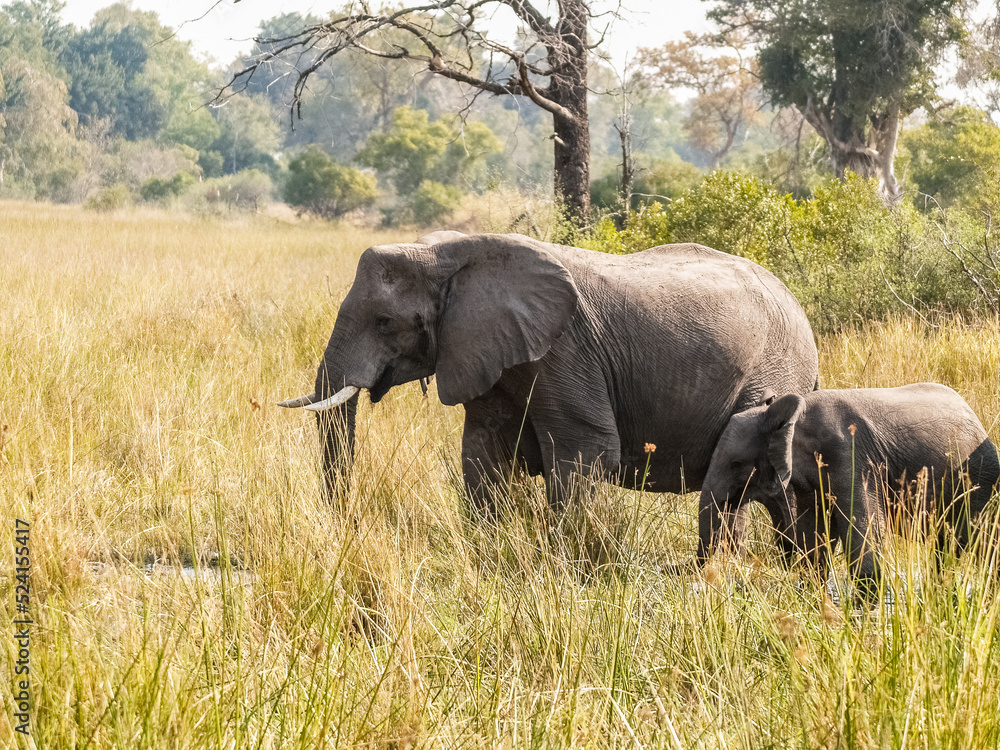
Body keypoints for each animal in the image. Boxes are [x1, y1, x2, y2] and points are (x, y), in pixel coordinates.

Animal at [279, 231, 819, 514]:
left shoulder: (565, 350)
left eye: (384, 322)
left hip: (775, 370)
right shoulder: (486, 350)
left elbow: (586, 451)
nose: (343, 521)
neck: (450, 251)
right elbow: (482, 450)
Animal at [697, 383, 999, 596]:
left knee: (982, 543)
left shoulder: (851, 455)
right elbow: (813, 537)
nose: (703, 578)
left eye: (736, 464)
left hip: (978, 479)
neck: (795, 415)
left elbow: (864, 532)